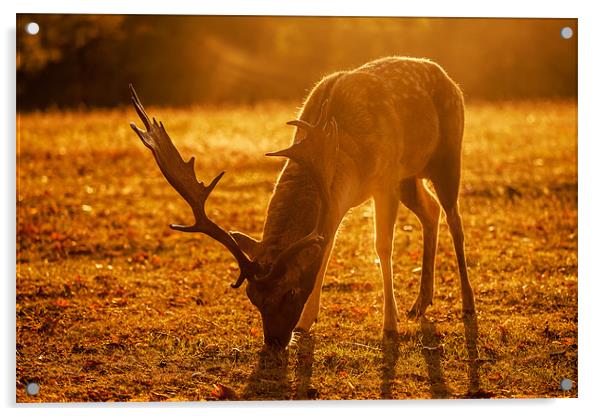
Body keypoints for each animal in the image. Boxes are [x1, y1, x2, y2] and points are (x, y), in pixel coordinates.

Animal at [130, 55, 474, 348]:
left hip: (447, 155)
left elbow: (382, 246)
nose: (275, 341)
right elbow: (325, 250)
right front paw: (307, 323)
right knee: (431, 211)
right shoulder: (340, 202)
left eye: (291, 291)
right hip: (410, 177)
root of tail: (452, 81)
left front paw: (390, 325)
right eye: (252, 296)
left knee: (455, 220)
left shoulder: (386, 178)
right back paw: (420, 303)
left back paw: (468, 304)